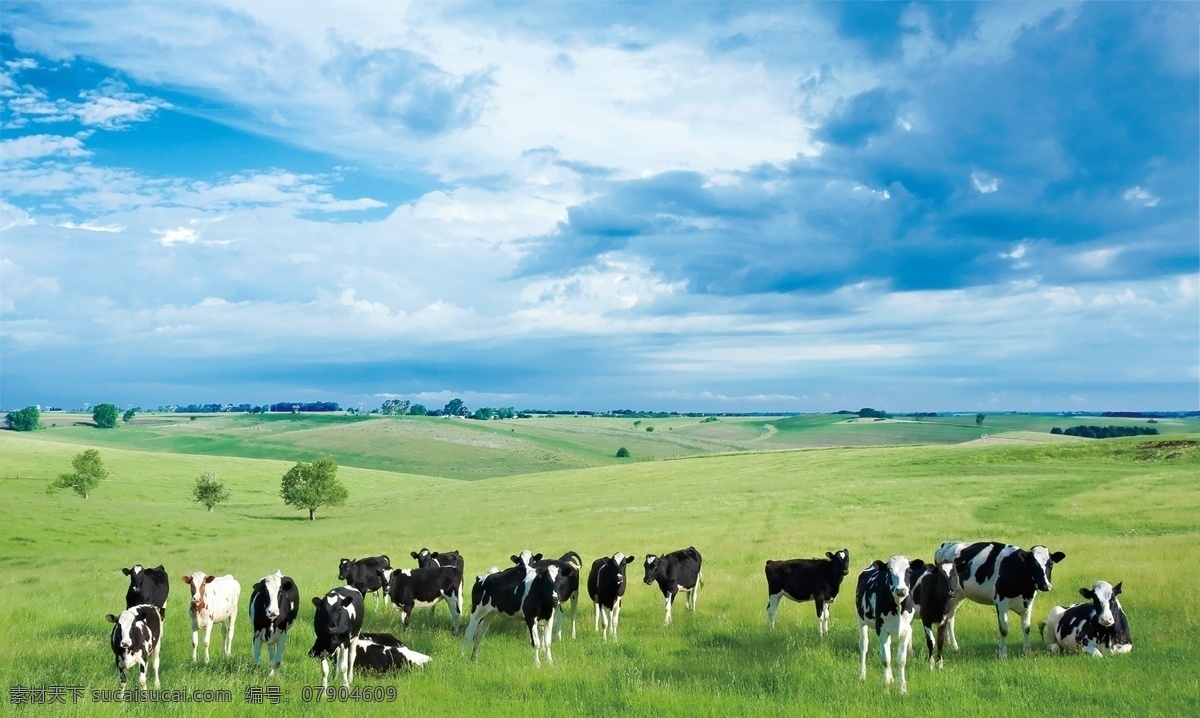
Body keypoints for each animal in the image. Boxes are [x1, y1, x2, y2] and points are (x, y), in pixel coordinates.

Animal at [854, 557, 926, 696]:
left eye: (908, 571)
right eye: (889, 572)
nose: (901, 590)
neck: (898, 607)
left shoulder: (907, 630)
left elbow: (901, 659)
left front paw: (902, 689)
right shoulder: (881, 630)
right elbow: (886, 659)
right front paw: (886, 689)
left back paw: (891, 678)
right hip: (861, 620)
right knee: (864, 645)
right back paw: (862, 675)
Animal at [936, 542, 1070, 662]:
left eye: (1051, 564)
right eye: (1032, 565)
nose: (1045, 586)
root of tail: (946, 545)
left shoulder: (1028, 603)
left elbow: (1026, 628)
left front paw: (1027, 652)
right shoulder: (1001, 603)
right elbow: (1004, 629)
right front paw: (1003, 655)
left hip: (958, 596)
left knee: (950, 617)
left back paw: (949, 644)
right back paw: (954, 645)